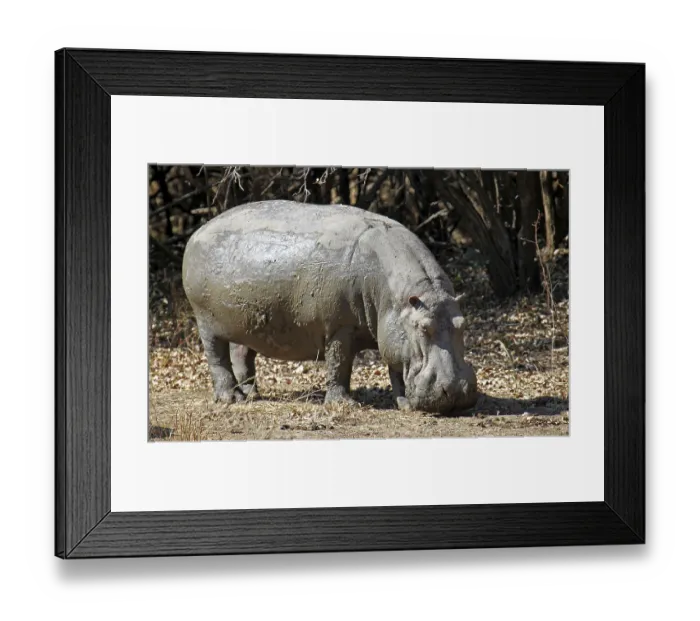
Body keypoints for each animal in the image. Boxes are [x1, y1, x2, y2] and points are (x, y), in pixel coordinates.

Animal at [182, 200, 478, 413]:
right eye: (424, 328)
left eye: (464, 325)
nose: (456, 392)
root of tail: (197, 232)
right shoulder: (340, 328)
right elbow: (340, 364)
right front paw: (345, 404)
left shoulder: (394, 330)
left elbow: (396, 369)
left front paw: (403, 404)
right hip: (206, 321)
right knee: (217, 357)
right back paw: (232, 399)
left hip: (246, 322)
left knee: (242, 354)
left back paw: (252, 395)